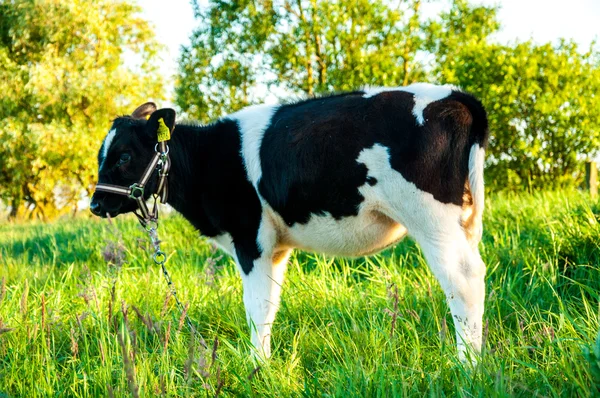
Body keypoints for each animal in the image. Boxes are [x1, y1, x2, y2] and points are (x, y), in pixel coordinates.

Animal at [91, 83, 490, 360]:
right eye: (100, 155)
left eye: (124, 155)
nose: (94, 203)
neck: (208, 159)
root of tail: (453, 96)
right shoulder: (275, 248)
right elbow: (270, 304)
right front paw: (265, 363)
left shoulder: (250, 239)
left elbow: (255, 307)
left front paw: (256, 365)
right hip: (462, 221)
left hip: (431, 217)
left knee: (463, 281)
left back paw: (467, 365)